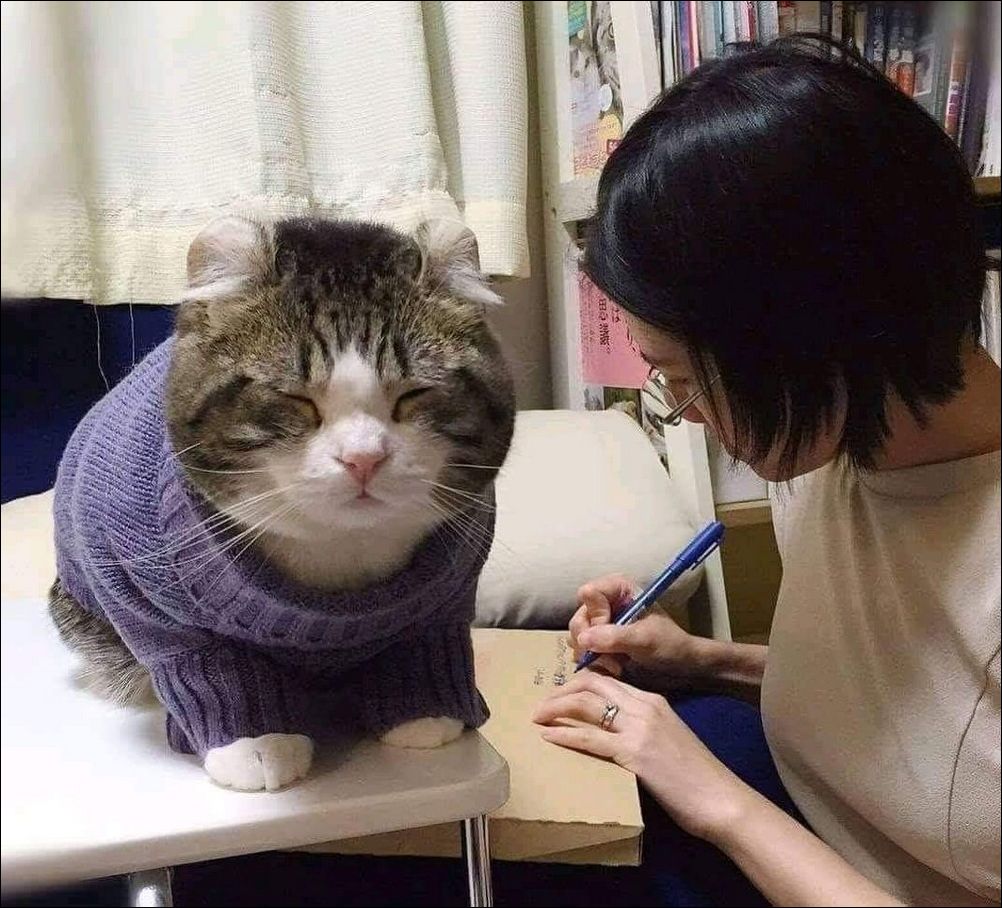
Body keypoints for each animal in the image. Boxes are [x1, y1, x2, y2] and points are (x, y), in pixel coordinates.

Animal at [49, 215, 515, 791]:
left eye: (414, 395)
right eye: (295, 398)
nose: (363, 458)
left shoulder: (444, 599)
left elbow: (422, 644)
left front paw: (424, 713)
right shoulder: (149, 601)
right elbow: (211, 664)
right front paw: (255, 742)